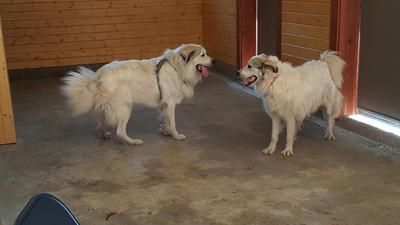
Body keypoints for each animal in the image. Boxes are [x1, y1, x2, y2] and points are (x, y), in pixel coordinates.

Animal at [61, 44, 214, 145]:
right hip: (125, 107)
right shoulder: (170, 104)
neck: (177, 68)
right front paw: (176, 135)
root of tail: (98, 75)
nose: (214, 61)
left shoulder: (163, 104)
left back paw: (105, 134)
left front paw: (166, 132)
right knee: (120, 131)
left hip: (107, 106)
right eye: (203, 55)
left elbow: (164, 119)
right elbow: (172, 122)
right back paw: (133, 142)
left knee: (101, 122)